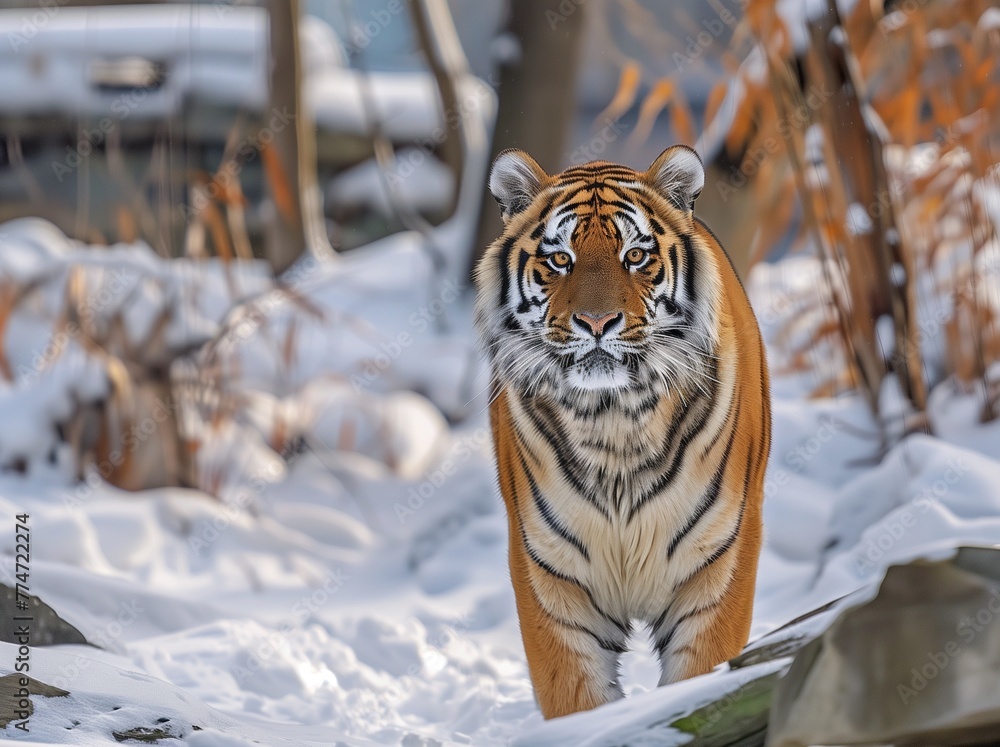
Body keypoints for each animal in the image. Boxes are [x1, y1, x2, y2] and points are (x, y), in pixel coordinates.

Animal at [472, 146, 768, 720]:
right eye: (559, 260)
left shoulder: (718, 565)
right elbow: (577, 701)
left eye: (635, 256)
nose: (596, 322)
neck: (615, 419)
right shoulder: (550, 579)